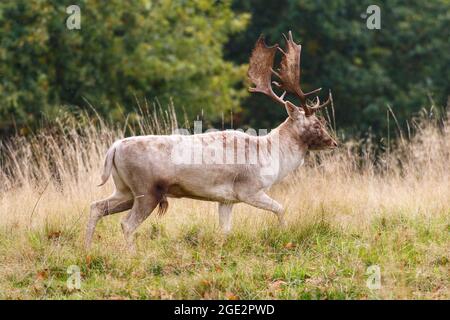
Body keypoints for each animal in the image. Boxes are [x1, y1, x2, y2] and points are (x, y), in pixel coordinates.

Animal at [85, 31, 338, 250]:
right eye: (317, 124)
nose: (333, 142)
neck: (272, 156)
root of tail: (114, 148)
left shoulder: (226, 199)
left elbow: (225, 230)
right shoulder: (249, 189)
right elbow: (281, 209)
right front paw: (285, 236)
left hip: (124, 188)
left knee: (96, 206)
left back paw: (86, 247)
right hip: (146, 189)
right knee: (126, 224)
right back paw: (131, 254)